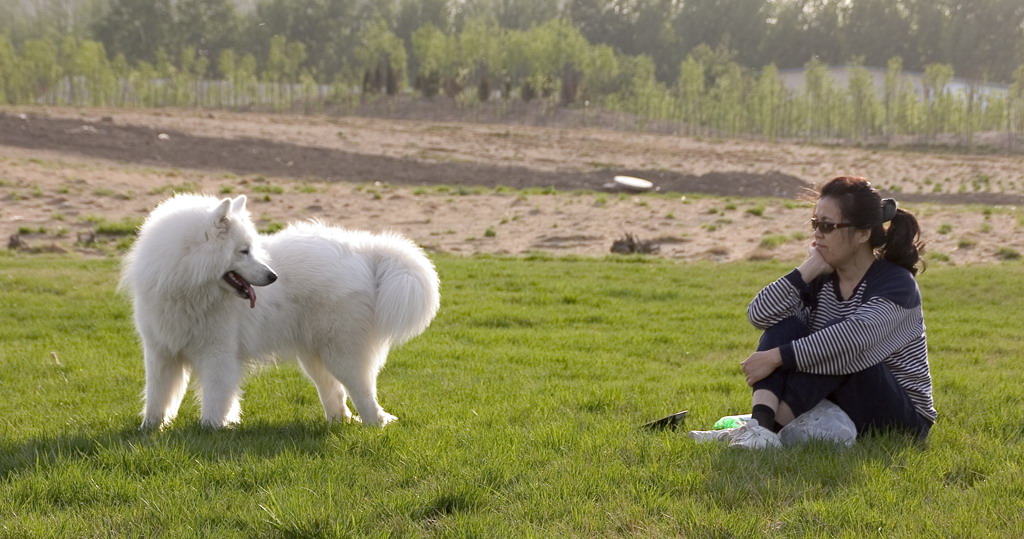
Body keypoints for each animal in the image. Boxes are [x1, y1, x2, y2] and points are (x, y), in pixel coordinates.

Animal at [119, 194, 440, 430]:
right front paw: (150, 429)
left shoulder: (218, 356)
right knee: (335, 393)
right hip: (314, 356)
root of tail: (365, 253)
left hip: (342, 354)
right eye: (244, 251)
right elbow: (157, 397)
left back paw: (376, 423)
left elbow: (214, 400)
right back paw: (339, 421)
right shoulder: (161, 353)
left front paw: (211, 429)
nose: (273, 276)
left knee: (363, 392)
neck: (185, 285)